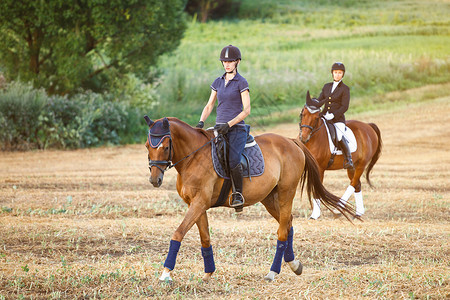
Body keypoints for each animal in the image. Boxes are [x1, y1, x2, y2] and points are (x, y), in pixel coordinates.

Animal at [144, 116, 358, 282]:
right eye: (147, 146)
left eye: (165, 146)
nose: (154, 180)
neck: (193, 157)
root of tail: (291, 142)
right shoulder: (196, 205)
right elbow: (205, 238)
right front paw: (208, 273)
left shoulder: (199, 203)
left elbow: (178, 233)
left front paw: (166, 274)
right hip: (269, 198)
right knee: (287, 223)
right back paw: (294, 264)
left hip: (285, 193)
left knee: (282, 230)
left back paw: (272, 272)